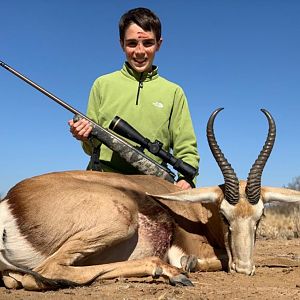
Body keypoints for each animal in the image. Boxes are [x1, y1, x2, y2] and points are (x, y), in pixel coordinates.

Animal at [0, 109, 300, 290]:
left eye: (260, 217)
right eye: (225, 216)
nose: (244, 268)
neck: (198, 214)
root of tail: (10, 201)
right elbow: (217, 257)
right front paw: (189, 264)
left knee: (23, 279)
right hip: (121, 218)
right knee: (46, 271)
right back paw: (171, 272)